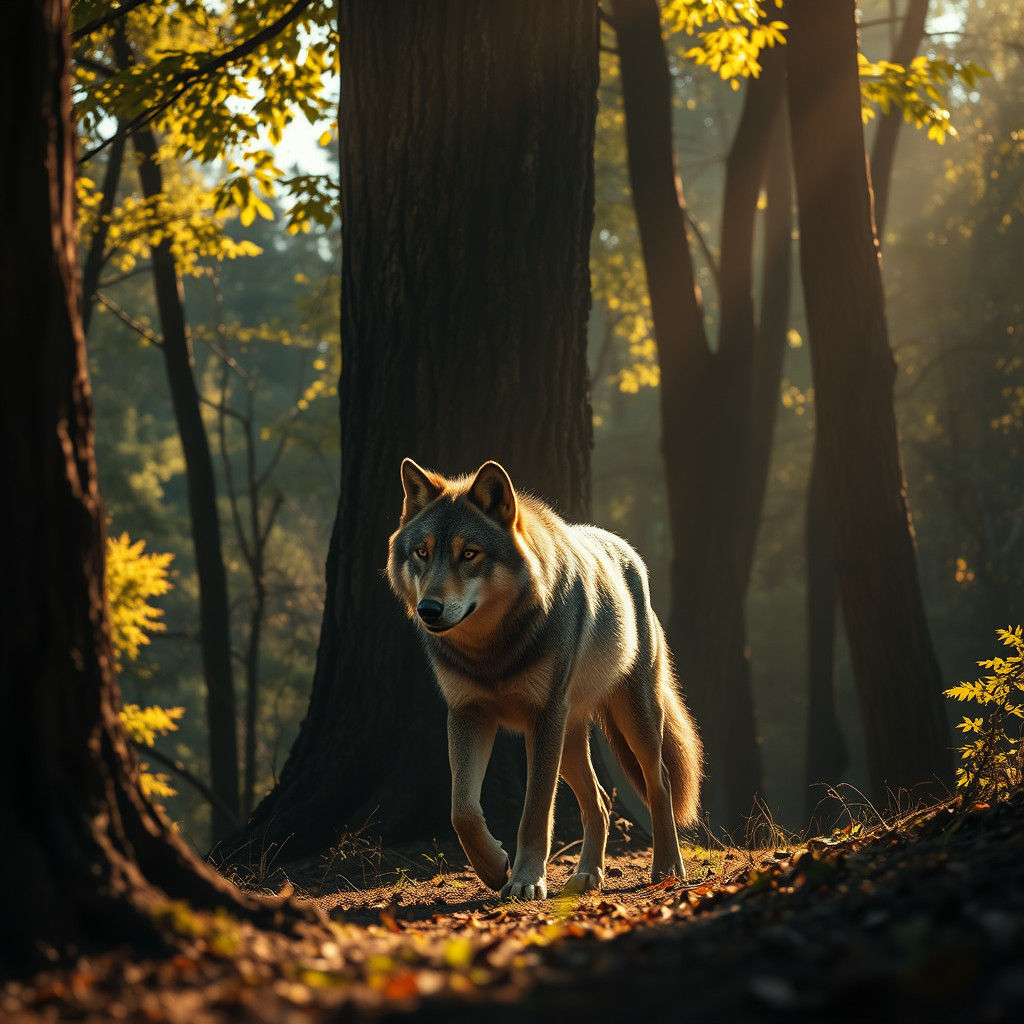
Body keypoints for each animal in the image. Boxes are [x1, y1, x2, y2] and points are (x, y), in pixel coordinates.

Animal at [387, 458, 703, 900]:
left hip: (630, 721)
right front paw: (493, 868)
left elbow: (535, 813)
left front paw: (525, 879)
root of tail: (628, 551)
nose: (429, 610)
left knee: (661, 784)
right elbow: (461, 810)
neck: (491, 653)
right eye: (422, 552)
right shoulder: (467, 713)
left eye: (469, 554)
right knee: (601, 802)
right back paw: (588, 874)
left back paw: (668, 867)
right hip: (567, 740)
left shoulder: (542, 717)